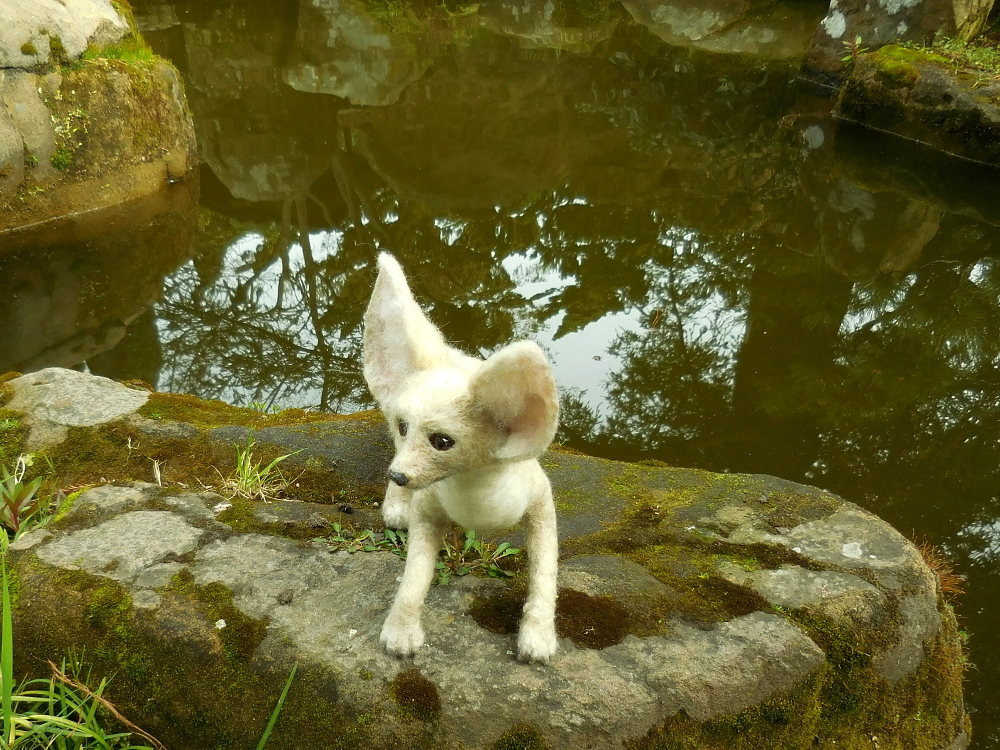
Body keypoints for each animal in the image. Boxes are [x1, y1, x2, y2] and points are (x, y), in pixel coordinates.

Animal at [363, 252, 560, 664]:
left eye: (442, 441)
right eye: (403, 426)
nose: (398, 476)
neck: (476, 505)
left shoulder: (539, 497)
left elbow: (545, 570)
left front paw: (537, 638)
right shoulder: (427, 503)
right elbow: (415, 574)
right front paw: (400, 634)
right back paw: (396, 508)